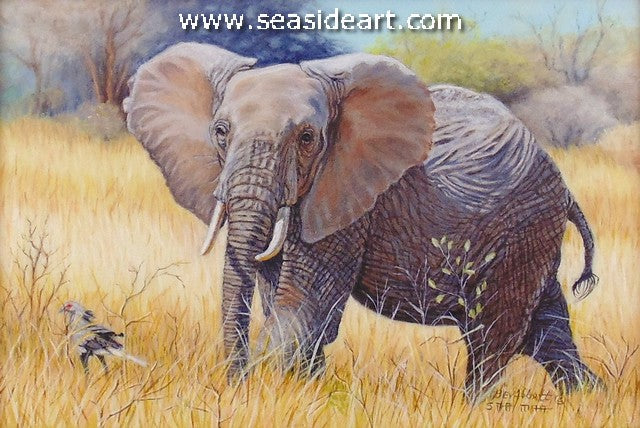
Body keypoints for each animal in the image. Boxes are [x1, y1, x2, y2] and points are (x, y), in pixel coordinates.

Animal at [123, 42, 602, 400]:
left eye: (307, 138)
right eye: (220, 132)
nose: (234, 385)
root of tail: (565, 187)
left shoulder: (349, 200)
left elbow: (304, 305)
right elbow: (278, 294)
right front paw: (303, 391)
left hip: (524, 226)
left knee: (495, 336)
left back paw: (472, 407)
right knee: (548, 332)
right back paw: (587, 397)